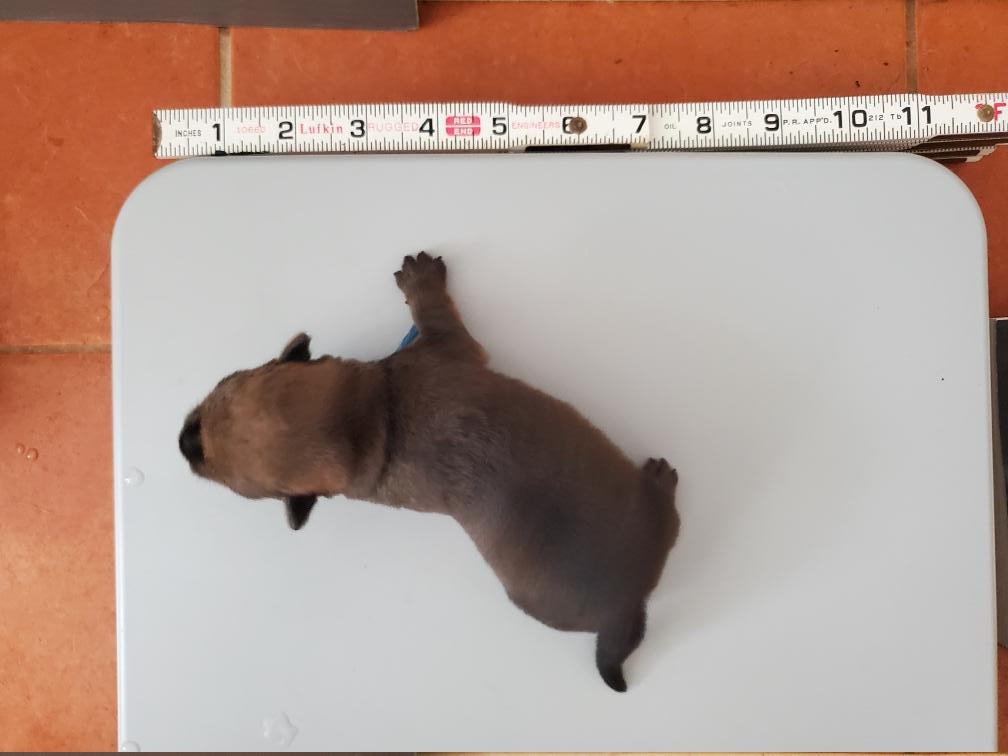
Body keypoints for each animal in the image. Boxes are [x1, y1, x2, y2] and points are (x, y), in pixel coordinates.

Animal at [179, 252, 679, 691]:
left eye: (225, 383)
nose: (183, 443)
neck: (375, 416)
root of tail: (624, 605)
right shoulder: (448, 347)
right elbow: (439, 314)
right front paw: (421, 279)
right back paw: (662, 479)